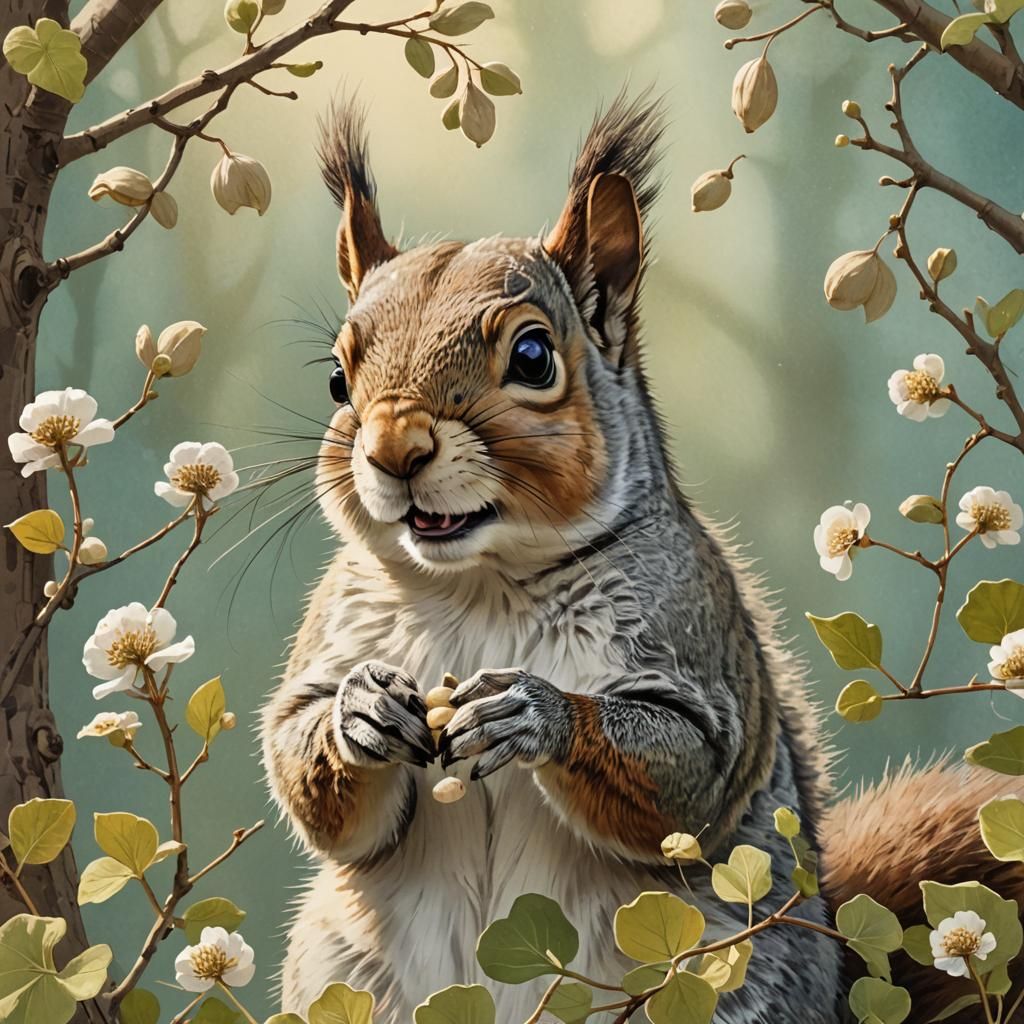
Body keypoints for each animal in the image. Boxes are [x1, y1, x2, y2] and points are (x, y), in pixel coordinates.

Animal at [260, 95, 1023, 1023]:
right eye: (338, 379)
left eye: (532, 357)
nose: (393, 450)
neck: (479, 585)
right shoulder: (333, 632)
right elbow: (307, 772)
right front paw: (360, 714)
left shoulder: (692, 644)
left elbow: (686, 776)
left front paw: (533, 712)